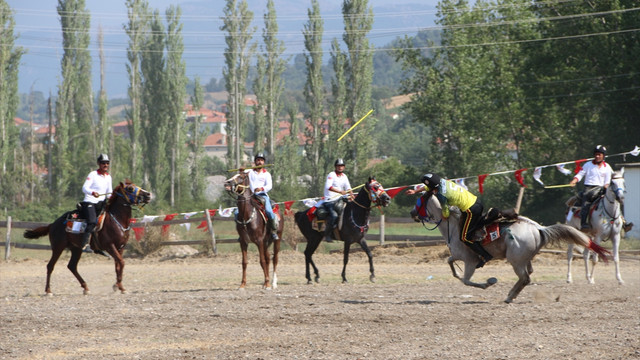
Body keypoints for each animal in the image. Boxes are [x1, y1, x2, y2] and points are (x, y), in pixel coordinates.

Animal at [23, 181, 151, 296]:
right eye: (130, 188)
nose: (148, 194)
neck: (116, 220)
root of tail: (52, 224)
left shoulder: (120, 248)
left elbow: (118, 265)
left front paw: (118, 286)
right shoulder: (110, 246)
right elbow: (122, 262)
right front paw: (119, 286)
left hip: (76, 249)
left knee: (72, 266)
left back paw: (85, 287)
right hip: (58, 247)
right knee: (50, 266)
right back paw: (48, 291)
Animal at [412, 191, 608, 304]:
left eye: (419, 201)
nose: (412, 213)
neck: (453, 226)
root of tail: (539, 229)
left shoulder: (469, 261)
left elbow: (466, 280)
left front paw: (489, 282)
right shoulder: (458, 256)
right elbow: (451, 264)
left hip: (516, 261)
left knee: (525, 278)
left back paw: (508, 296)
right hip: (524, 260)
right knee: (528, 276)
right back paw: (511, 296)